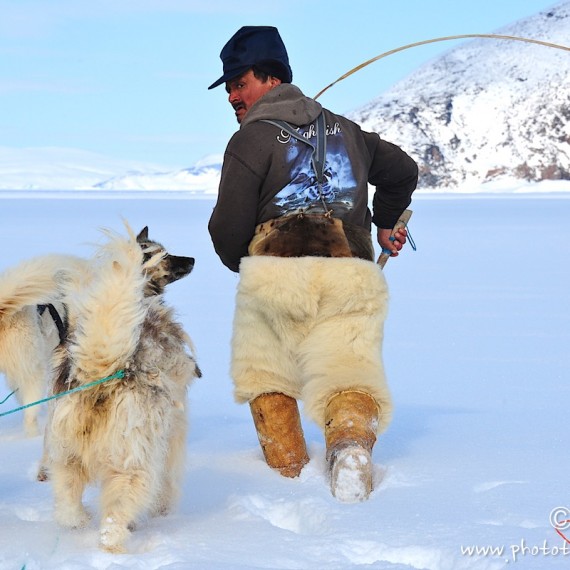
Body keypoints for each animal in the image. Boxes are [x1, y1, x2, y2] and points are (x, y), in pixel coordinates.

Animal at [41, 224, 200, 552]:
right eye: (166, 255)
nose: (192, 259)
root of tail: (100, 372)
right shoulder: (173, 432)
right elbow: (168, 481)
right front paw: (163, 510)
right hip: (133, 462)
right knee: (116, 513)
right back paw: (115, 544)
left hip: (64, 453)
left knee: (66, 500)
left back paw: (79, 521)